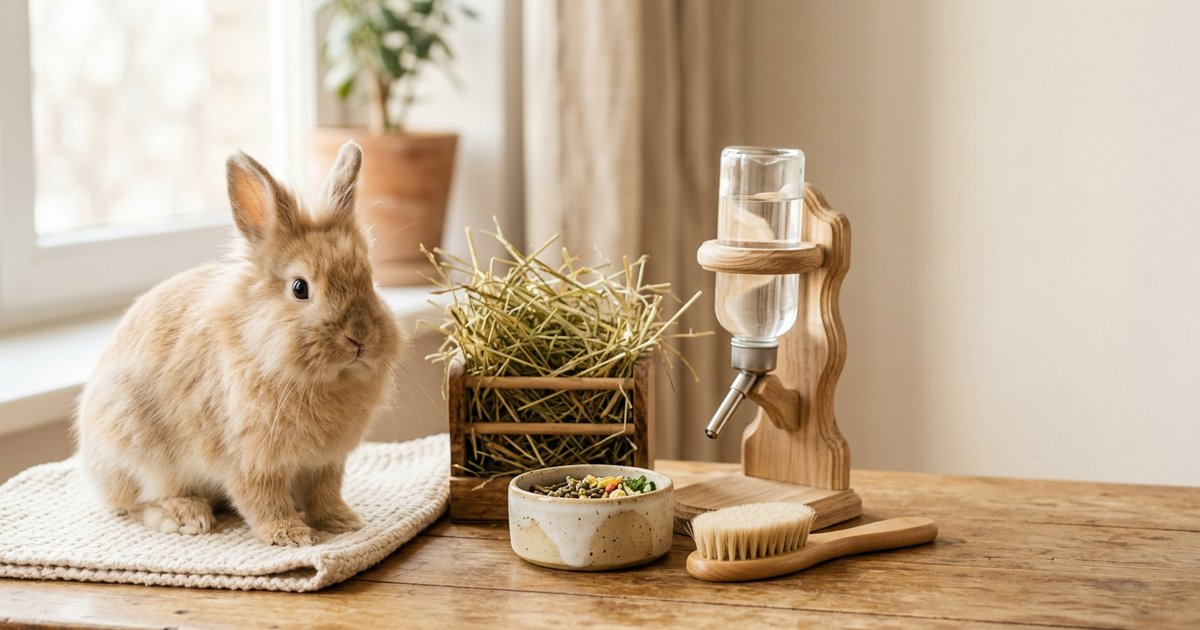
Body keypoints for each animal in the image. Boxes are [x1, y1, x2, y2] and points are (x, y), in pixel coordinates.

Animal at [73, 140, 404, 546]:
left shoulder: (326, 462)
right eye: (300, 288)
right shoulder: (250, 459)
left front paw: (342, 521)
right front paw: (290, 536)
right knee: (134, 504)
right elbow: (262, 500)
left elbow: (324, 493)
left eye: (369, 280)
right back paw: (186, 516)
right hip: (134, 448)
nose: (360, 338)